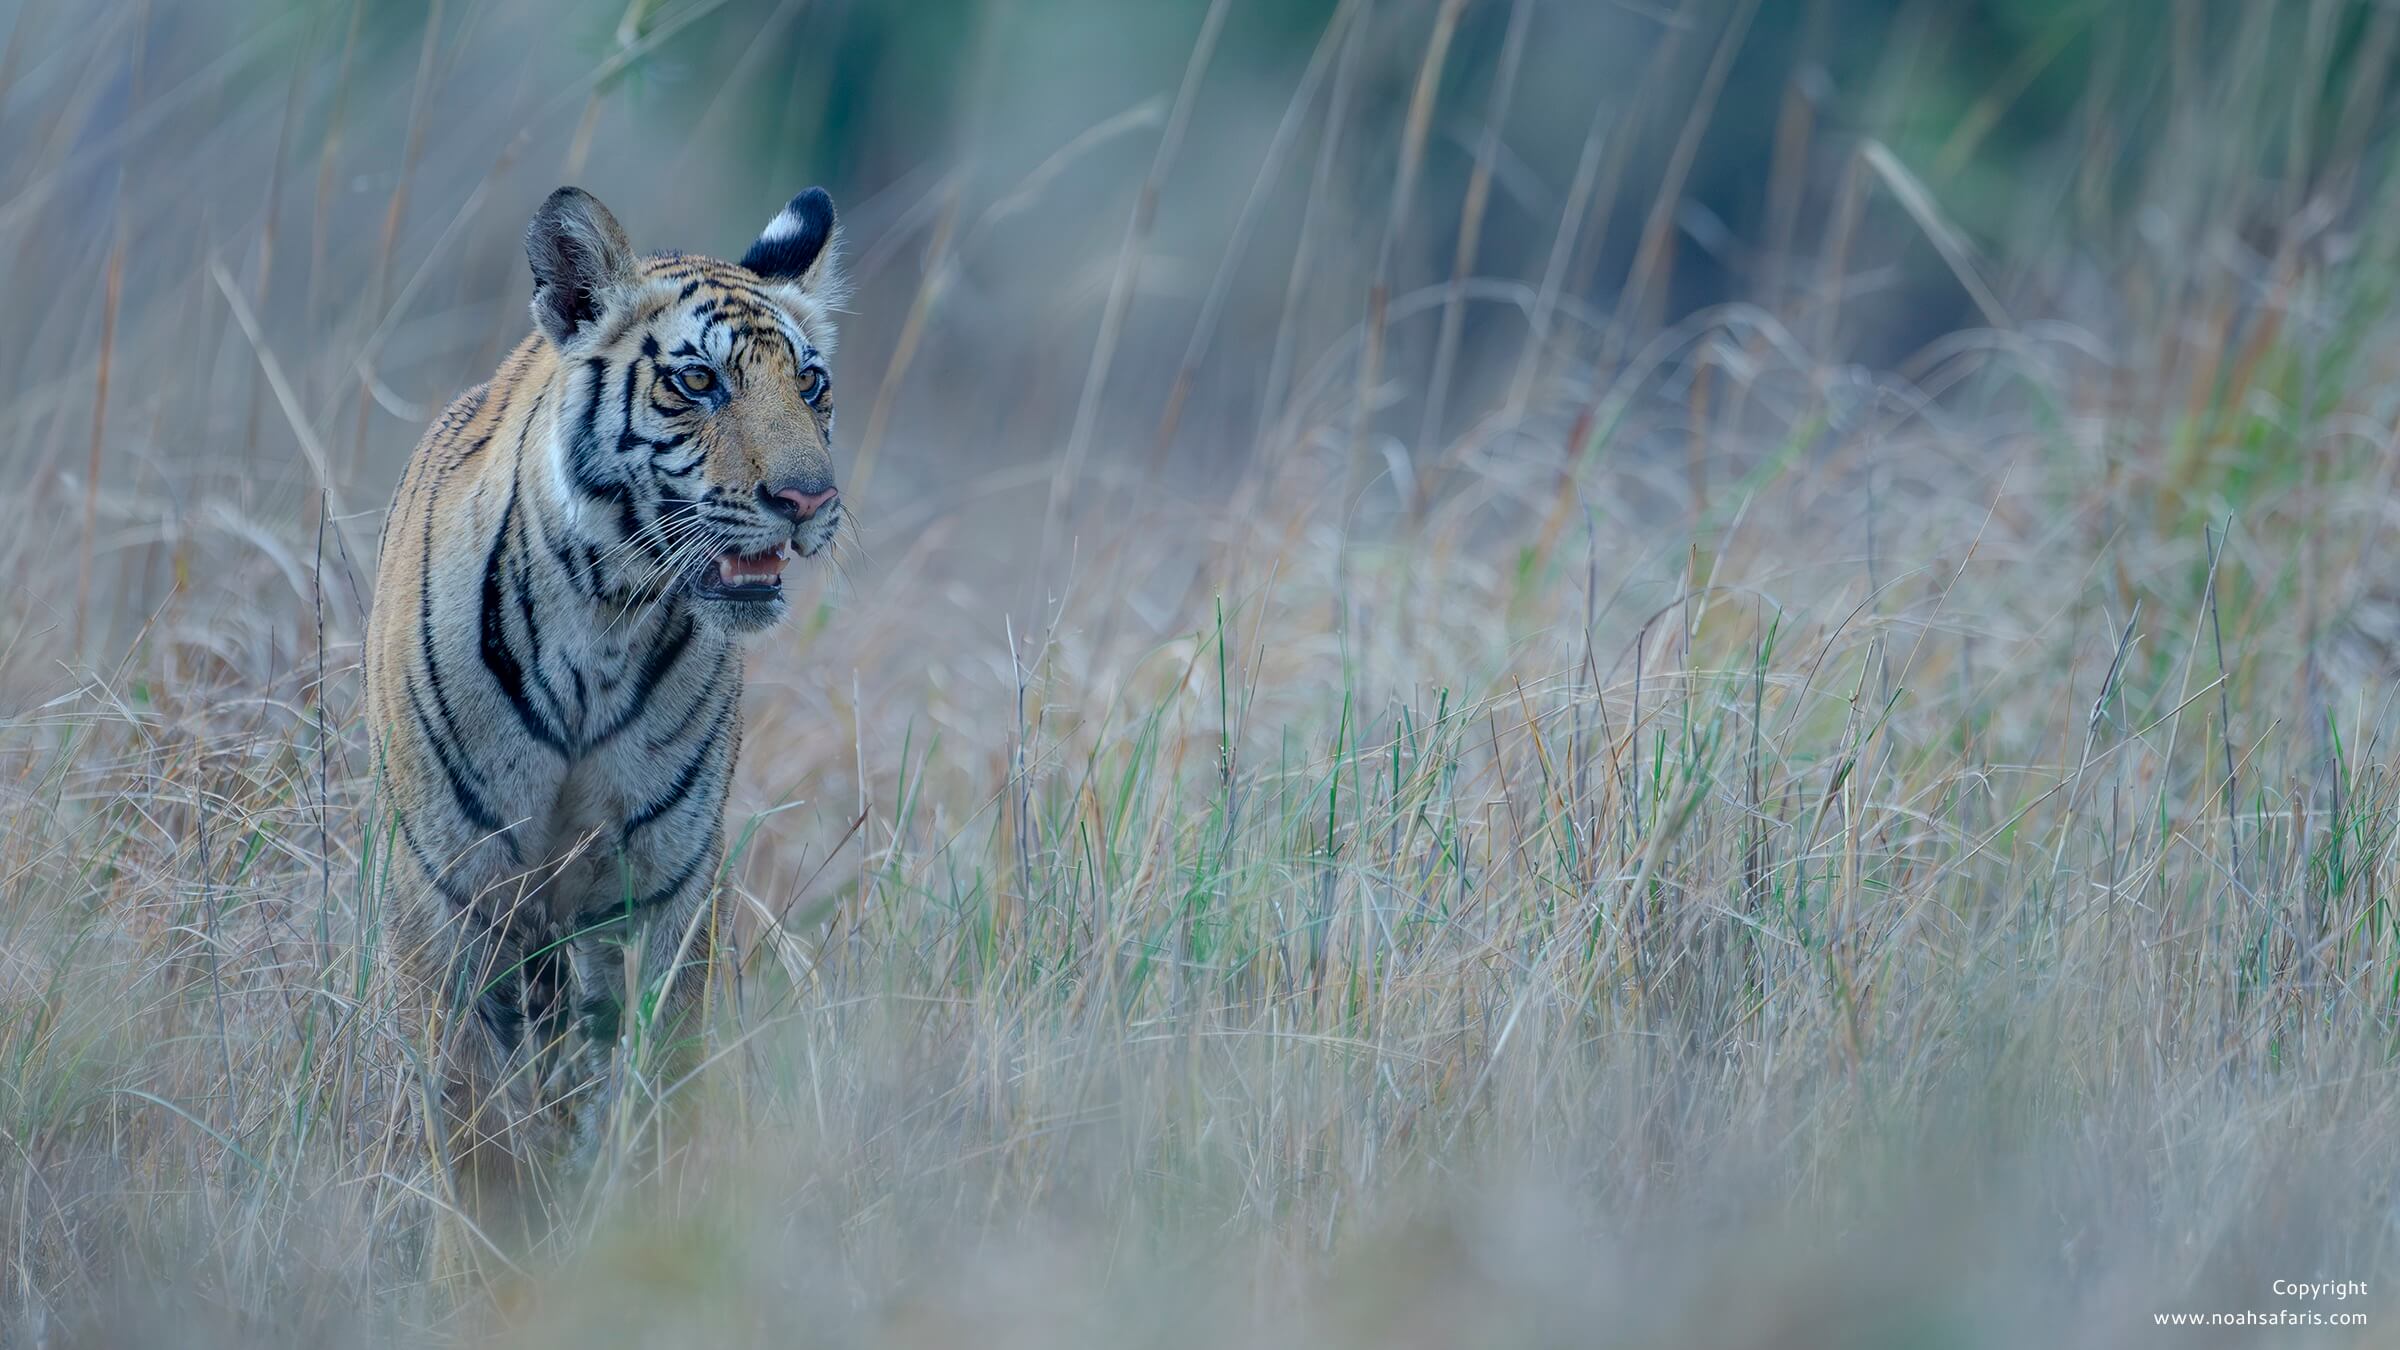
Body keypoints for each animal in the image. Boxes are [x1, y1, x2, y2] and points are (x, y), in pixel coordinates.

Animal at [361, 184, 846, 1225]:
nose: (808, 500)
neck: (604, 618)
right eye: (698, 382)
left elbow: (661, 1092)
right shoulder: (450, 891)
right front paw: (492, 1248)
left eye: (812, 384)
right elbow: (473, 1128)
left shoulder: (665, 888)